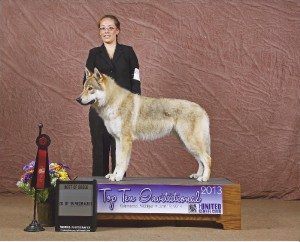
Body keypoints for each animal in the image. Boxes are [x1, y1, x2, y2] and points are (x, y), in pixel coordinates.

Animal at [76, 67, 212, 182]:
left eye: (90, 88)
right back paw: (197, 175)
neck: (114, 103)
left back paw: (204, 178)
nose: (78, 99)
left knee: (207, 158)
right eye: (83, 87)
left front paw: (118, 177)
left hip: (190, 142)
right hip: (186, 144)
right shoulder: (118, 140)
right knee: (200, 160)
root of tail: (202, 109)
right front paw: (113, 175)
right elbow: (118, 160)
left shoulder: (126, 140)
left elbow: (122, 161)